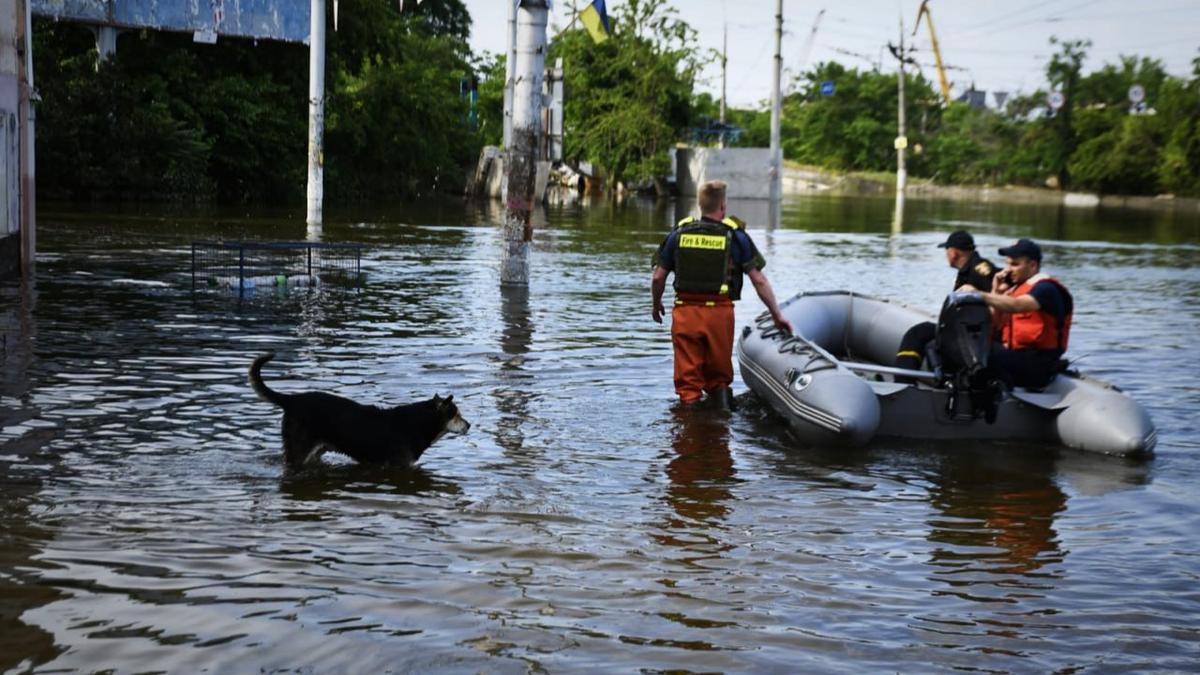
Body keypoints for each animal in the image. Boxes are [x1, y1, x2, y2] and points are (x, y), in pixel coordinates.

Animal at [248, 353, 468, 468]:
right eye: (456, 415)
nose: (470, 425)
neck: (420, 423)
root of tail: (291, 399)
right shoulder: (399, 465)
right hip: (299, 449)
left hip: (315, 451)